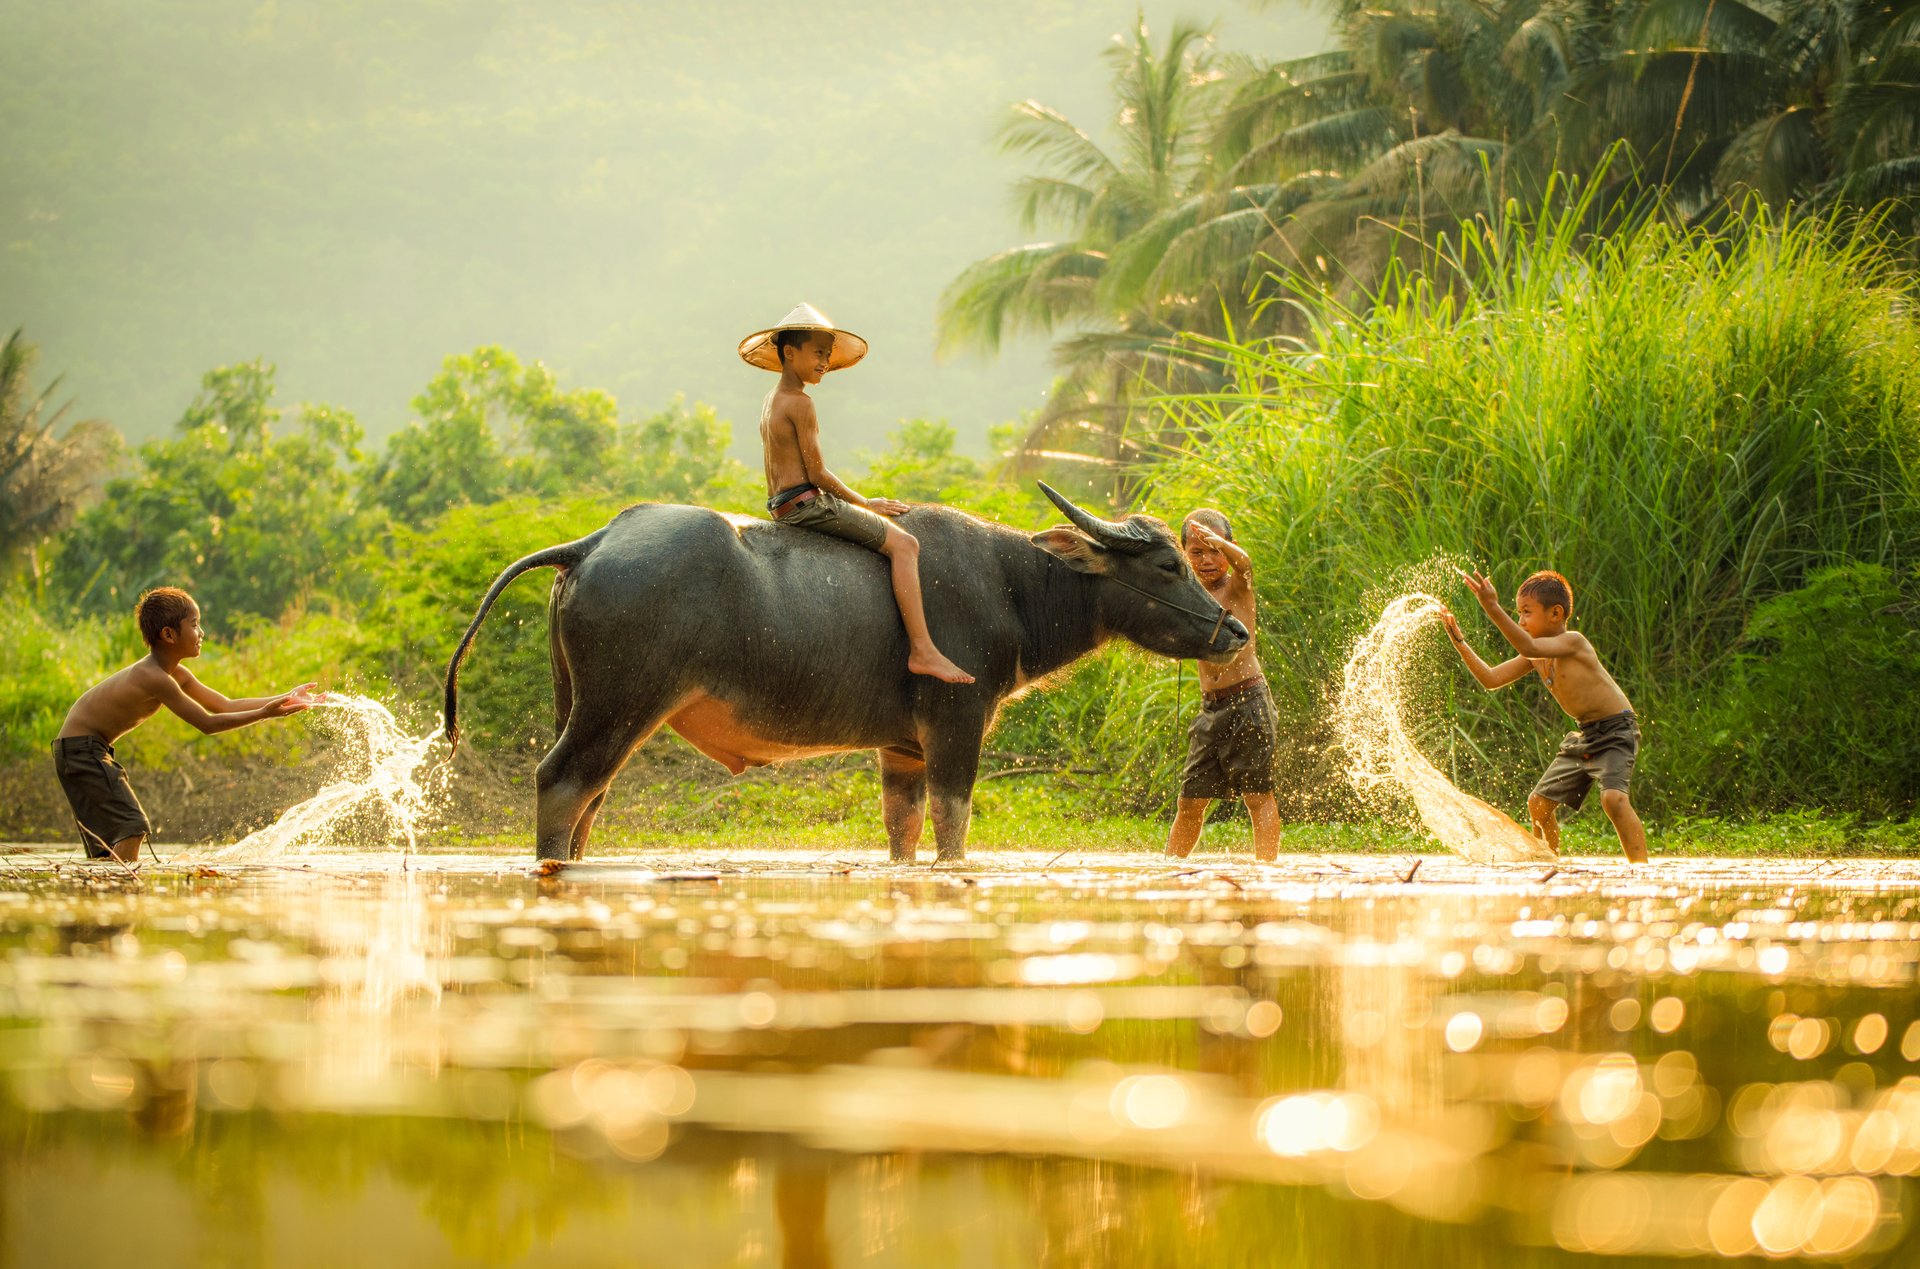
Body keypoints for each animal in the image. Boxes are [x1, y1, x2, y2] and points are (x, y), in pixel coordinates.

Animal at [449, 485, 1259, 860]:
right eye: (1169, 564)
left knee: (590, 797)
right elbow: (953, 826)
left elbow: (903, 831)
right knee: (562, 783)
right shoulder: (956, 723)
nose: (1236, 631)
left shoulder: (900, 746)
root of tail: (594, 542)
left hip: (579, 700)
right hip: (620, 703)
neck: (1009, 585)